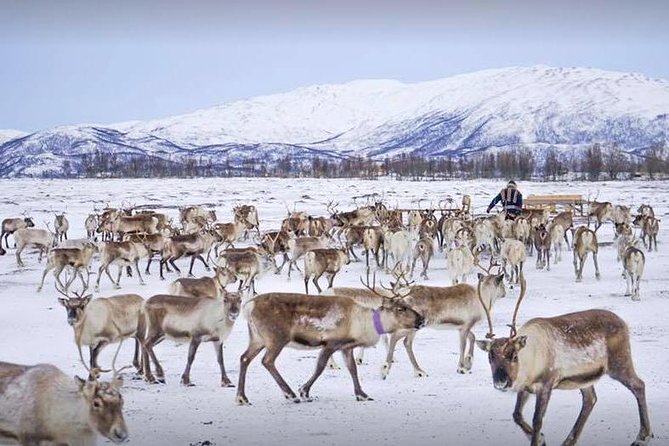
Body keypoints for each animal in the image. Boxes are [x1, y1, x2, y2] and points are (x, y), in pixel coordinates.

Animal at [235, 288, 425, 405]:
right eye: (400, 309)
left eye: (408, 305)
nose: (422, 319)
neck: (364, 322)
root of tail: (249, 306)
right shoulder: (331, 343)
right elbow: (320, 367)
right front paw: (304, 392)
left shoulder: (346, 347)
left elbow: (353, 369)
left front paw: (362, 394)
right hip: (276, 338)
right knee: (267, 361)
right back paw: (291, 394)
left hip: (257, 338)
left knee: (244, 358)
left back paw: (241, 397)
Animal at [476, 272, 652, 446]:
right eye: (490, 356)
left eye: (513, 355)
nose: (501, 382)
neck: (529, 361)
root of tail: (623, 322)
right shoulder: (525, 387)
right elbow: (517, 415)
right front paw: (541, 438)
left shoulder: (546, 384)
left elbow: (537, 420)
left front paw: (539, 439)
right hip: (585, 378)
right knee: (590, 399)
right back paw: (569, 441)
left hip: (620, 362)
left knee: (638, 385)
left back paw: (642, 437)